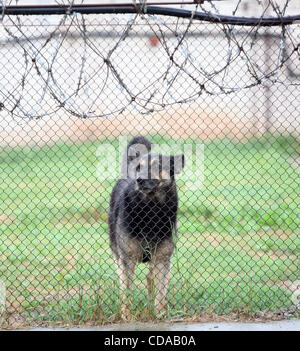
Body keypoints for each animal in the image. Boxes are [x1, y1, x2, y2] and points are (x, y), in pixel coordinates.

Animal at [108, 136, 183, 318]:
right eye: (139, 168)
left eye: (156, 166)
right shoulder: (127, 259)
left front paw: (159, 313)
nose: (139, 180)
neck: (150, 211)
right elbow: (127, 290)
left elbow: (161, 291)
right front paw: (127, 315)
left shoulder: (162, 259)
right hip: (117, 252)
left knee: (150, 278)